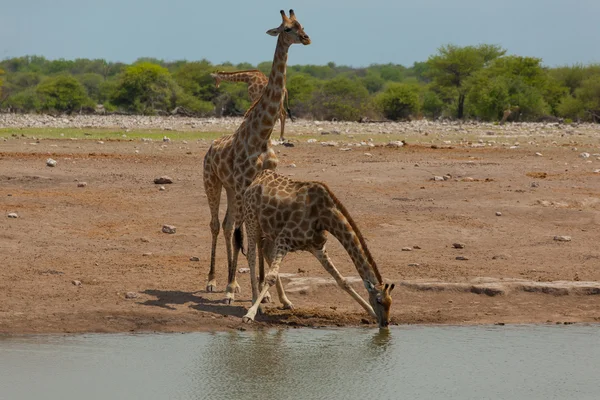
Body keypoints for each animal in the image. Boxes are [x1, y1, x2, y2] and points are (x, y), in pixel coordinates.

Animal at [204, 9, 312, 304]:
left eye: (301, 25)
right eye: (287, 29)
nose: (306, 38)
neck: (262, 135)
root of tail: (210, 147)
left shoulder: (258, 183)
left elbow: (260, 239)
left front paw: (266, 293)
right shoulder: (243, 184)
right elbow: (242, 236)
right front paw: (231, 290)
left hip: (232, 189)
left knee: (228, 225)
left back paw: (234, 284)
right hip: (213, 183)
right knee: (218, 225)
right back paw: (214, 282)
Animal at [237, 169, 396, 328]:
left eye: (390, 302)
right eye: (379, 301)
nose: (385, 323)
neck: (324, 216)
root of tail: (258, 177)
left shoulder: (317, 247)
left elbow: (342, 281)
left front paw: (371, 313)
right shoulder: (284, 239)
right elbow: (271, 277)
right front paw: (249, 314)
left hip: (271, 231)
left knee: (265, 251)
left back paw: (286, 302)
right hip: (252, 220)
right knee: (251, 256)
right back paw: (257, 304)